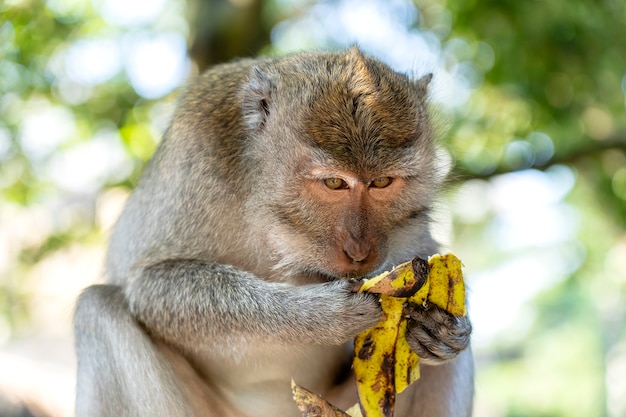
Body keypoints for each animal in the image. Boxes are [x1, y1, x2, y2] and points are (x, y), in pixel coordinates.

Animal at [73, 46, 470, 416]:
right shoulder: (197, 146)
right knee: (97, 308)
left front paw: (445, 332)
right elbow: (150, 284)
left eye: (382, 182)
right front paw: (316, 314)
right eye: (334, 183)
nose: (360, 250)